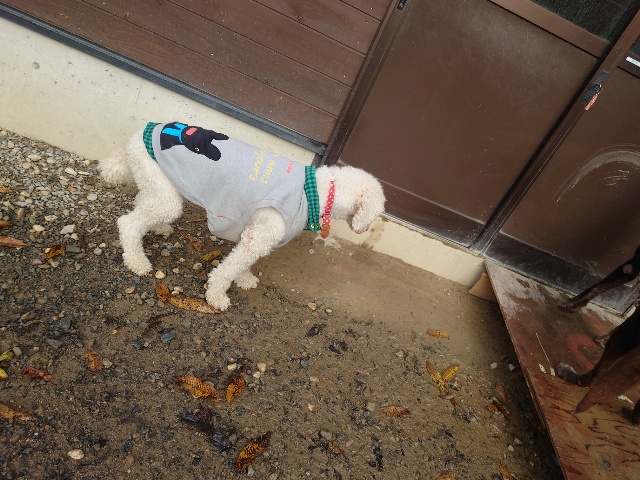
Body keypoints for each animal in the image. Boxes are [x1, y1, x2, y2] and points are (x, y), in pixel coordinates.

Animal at [99, 121, 385, 311]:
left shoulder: (254, 232)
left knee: (143, 204)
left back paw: (159, 228)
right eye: (377, 214)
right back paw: (137, 261)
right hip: (162, 188)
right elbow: (227, 269)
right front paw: (217, 296)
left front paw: (244, 278)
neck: (316, 190)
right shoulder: (261, 234)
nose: (365, 229)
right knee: (128, 223)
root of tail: (137, 137)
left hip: (157, 184)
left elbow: (242, 261)